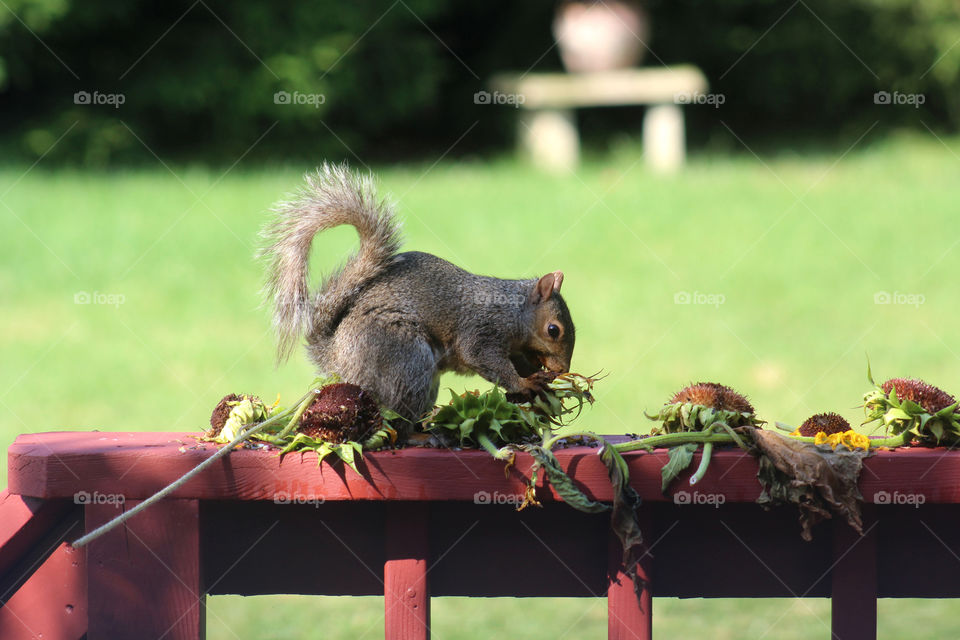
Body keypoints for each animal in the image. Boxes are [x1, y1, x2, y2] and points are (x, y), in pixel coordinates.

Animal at [260, 163, 575, 428]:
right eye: (553, 330)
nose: (563, 369)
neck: (514, 312)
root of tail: (336, 359)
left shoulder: (516, 347)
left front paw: (539, 377)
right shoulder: (482, 330)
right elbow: (484, 359)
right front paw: (525, 384)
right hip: (406, 357)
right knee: (397, 412)